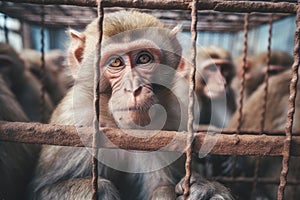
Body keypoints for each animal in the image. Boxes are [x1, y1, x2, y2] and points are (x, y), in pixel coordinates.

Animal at [28, 10, 234, 200]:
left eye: (144, 59)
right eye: (116, 62)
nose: (134, 88)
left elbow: (160, 187)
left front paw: (206, 189)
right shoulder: (75, 120)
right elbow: (42, 190)